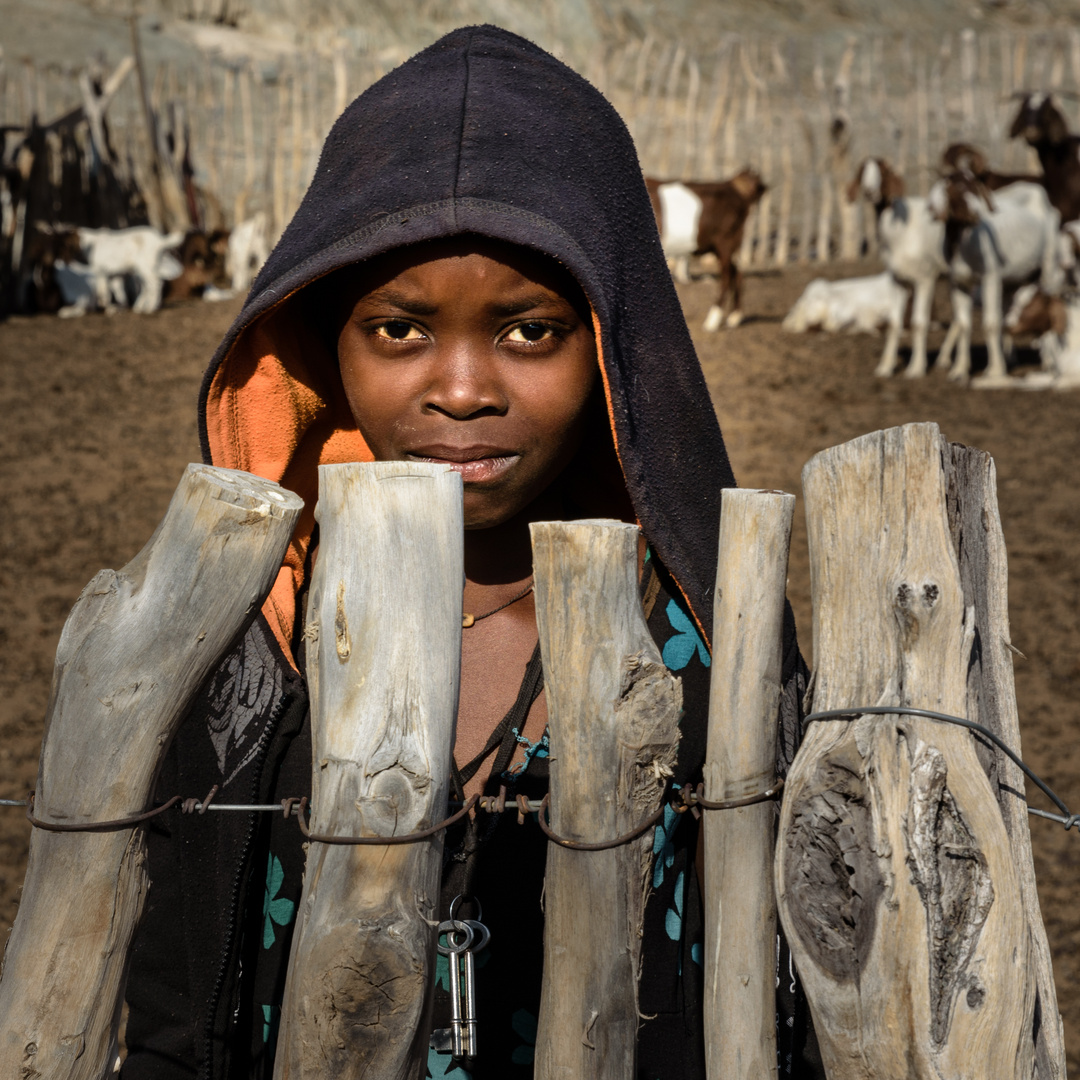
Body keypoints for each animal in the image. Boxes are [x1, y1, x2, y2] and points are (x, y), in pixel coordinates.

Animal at [643, 167, 764, 328]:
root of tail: (732, 185)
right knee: (736, 272)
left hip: (726, 241)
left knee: (726, 276)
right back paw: (734, 316)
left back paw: (713, 320)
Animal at [842, 157, 946, 378]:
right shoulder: (898, 280)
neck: (903, 230)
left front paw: (916, 369)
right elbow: (894, 324)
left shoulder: (925, 279)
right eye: (862, 170)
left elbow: (918, 323)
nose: (869, 191)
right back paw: (945, 360)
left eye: (882, 170)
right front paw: (885, 367)